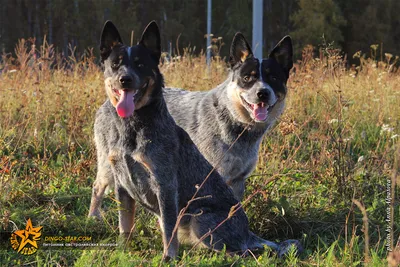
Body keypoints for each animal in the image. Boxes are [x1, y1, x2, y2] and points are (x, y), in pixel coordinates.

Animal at [90, 21, 286, 262]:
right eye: (116, 64)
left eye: (140, 64)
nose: (124, 79)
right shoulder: (122, 185)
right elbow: (125, 226)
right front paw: (122, 252)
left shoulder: (166, 185)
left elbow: (168, 229)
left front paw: (168, 258)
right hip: (107, 167)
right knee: (97, 187)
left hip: (199, 218)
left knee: (241, 250)